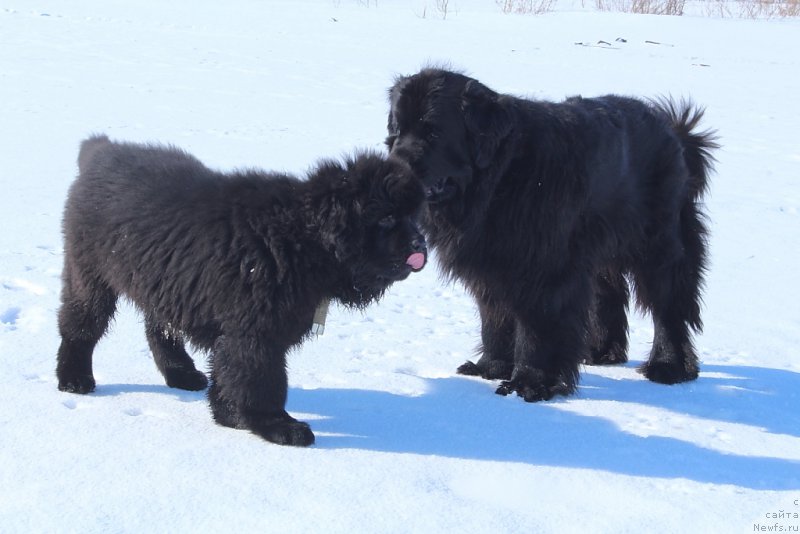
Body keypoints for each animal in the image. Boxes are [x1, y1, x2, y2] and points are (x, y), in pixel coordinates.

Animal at [57, 135, 424, 448]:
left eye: (414, 217)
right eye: (387, 218)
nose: (421, 243)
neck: (302, 239)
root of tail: (102, 150)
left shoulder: (238, 329)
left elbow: (228, 373)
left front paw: (229, 416)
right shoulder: (255, 332)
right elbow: (261, 380)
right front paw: (277, 426)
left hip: (163, 282)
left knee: (159, 329)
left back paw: (181, 373)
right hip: (89, 273)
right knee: (80, 324)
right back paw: (74, 378)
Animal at [388, 68, 720, 402]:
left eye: (434, 133)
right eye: (398, 130)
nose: (395, 167)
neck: (501, 180)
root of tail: (674, 131)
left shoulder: (544, 271)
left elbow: (537, 329)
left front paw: (529, 383)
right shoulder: (492, 266)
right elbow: (494, 320)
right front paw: (490, 367)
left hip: (658, 243)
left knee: (668, 305)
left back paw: (668, 366)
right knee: (609, 294)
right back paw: (600, 351)